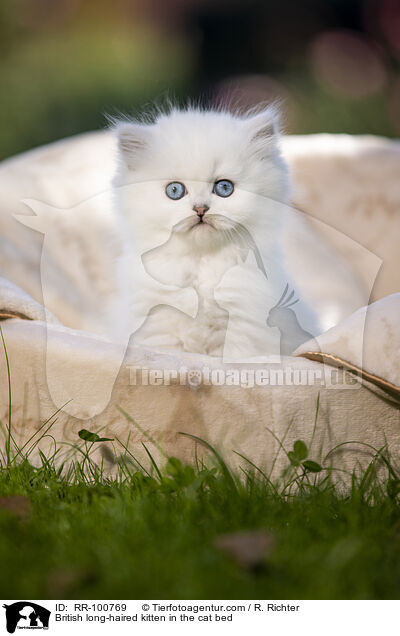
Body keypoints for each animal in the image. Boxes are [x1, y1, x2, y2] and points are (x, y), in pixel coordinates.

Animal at [111, 107, 312, 360]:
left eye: (224, 188)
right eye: (174, 190)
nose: (200, 209)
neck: (201, 264)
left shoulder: (245, 328)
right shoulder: (157, 328)